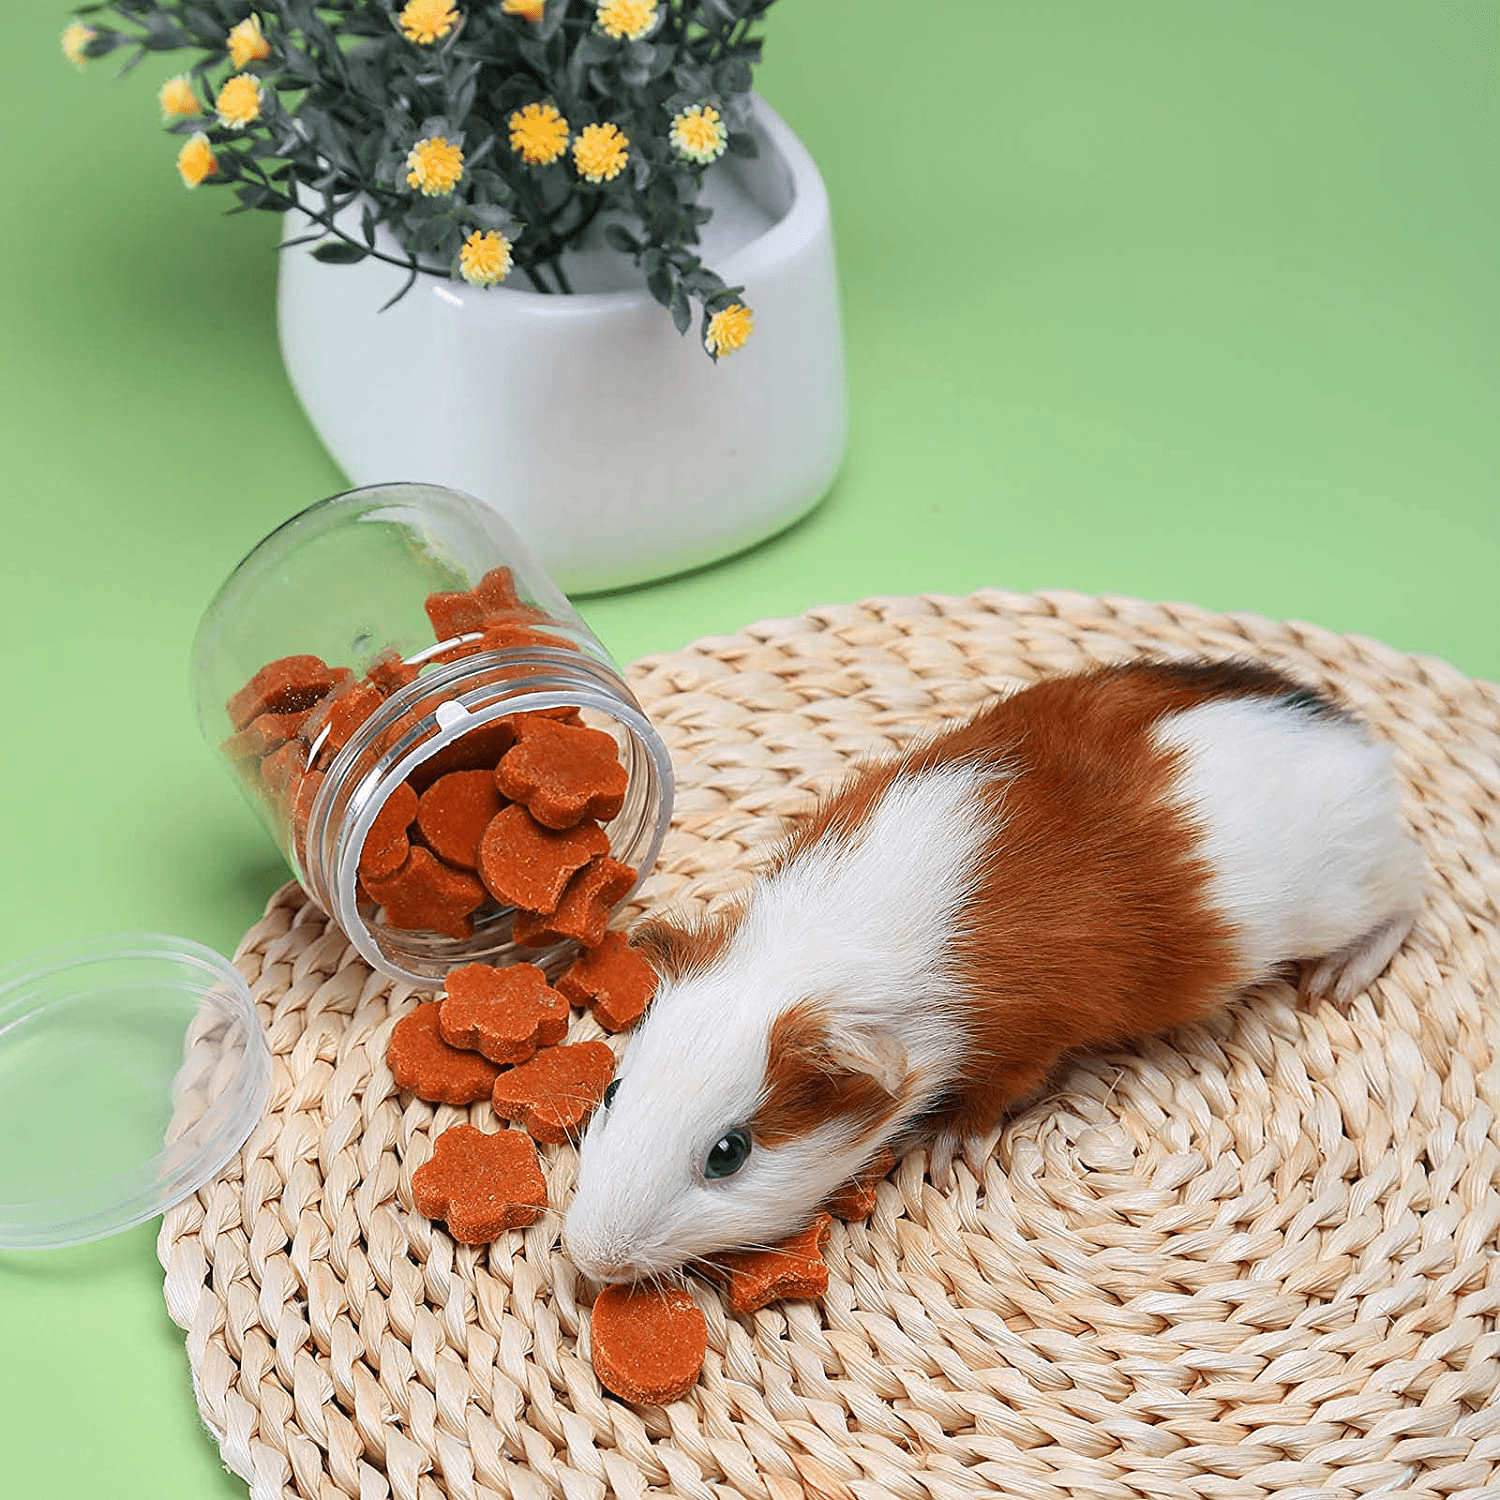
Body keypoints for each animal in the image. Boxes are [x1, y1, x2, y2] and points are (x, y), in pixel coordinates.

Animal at [563, 659, 1424, 1283]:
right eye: (613, 1089)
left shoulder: (1022, 1045)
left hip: (1356, 896)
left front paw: (942, 1149)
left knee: (1408, 899)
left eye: (729, 1153)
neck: (814, 955)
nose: (593, 1257)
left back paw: (1339, 979)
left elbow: (985, 1099)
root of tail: (1362, 752)